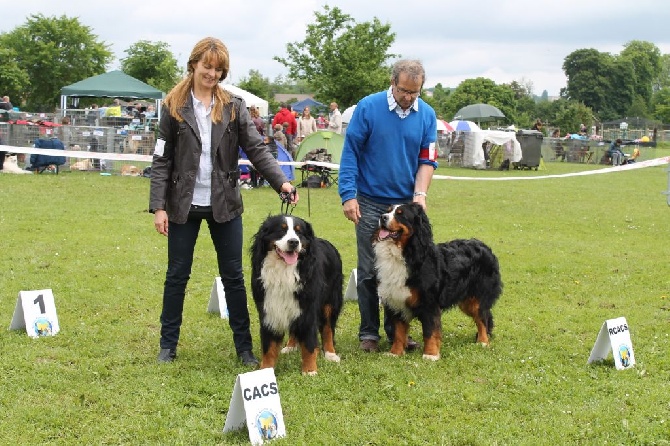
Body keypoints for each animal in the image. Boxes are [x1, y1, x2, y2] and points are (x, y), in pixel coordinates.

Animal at [253, 214, 346, 374]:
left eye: (299, 232)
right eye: (281, 230)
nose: (294, 242)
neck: (283, 271)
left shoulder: (308, 308)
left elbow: (309, 343)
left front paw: (309, 371)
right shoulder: (269, 309)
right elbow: (269, 346)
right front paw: (265, 370)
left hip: (330, 301)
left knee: (328, 328)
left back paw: (330, 353)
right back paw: (290, 346)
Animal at [376, 204, 502, 360]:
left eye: (400, 214)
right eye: (388, 211)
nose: (382, 217)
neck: (406, 254)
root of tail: (485, 247)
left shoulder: (429, 303)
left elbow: (430, 331)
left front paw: (430, 354)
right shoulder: (396, 300)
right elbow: (398, 332)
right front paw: (395, 353)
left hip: (478, 297)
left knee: (482, 318)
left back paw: (483, 341)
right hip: (467, 301)